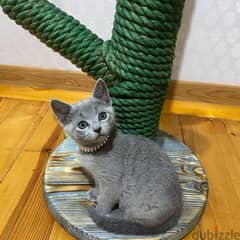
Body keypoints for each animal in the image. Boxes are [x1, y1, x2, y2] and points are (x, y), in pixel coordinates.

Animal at [50, 79, 182, 234]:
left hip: (134, 200)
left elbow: (105, 199)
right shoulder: (98, 176)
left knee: (134, 219)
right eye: (82, 124)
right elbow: (99, 185)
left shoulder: (112, 182)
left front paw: (99, 212)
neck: (93, 151)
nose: (97, 129)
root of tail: (178, 207)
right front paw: (95, 193)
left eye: (102, 116)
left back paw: (114, 216)